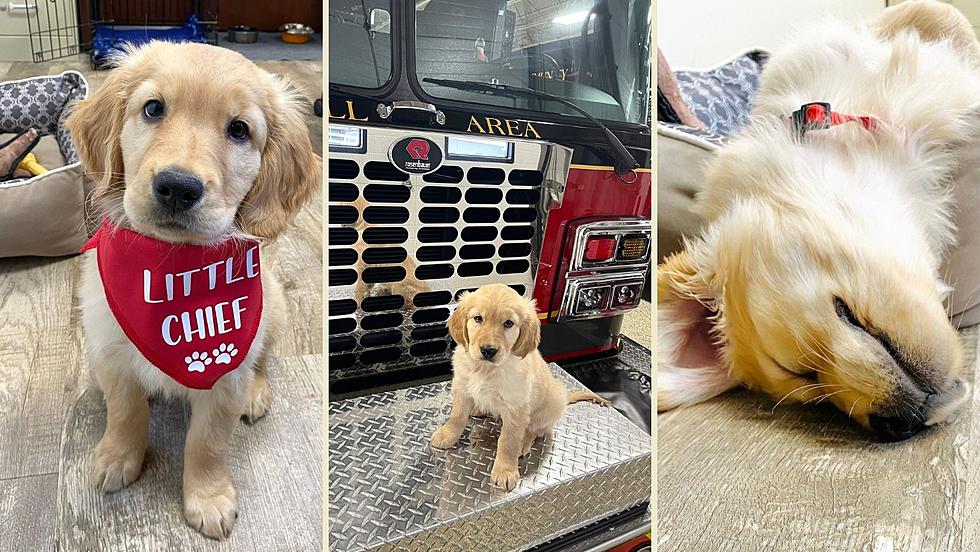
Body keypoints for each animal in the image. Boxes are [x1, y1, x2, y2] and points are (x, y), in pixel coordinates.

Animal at [67, 42, 324, 540]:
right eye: (153, 108)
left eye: (239, 130)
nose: (177, 187)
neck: (171, 265)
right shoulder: (109, 349)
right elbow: (125, 411)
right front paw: (116, 457)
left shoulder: (224, 379)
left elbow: (208, 442)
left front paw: (207, 499)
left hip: (274, 308)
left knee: (262, 358)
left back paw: (256, 393)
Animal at [430, 284, 608, 492]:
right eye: (478, 318)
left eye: (508, 323)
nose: (488, 350)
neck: (486, 369)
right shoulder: (462, 388)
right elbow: (457, 417)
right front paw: (447, 435)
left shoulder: (516, 407)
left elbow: (508, 441)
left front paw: (505, 471)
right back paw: (479, 408)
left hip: (548, 407)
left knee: (535, 429)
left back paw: (524, 442)